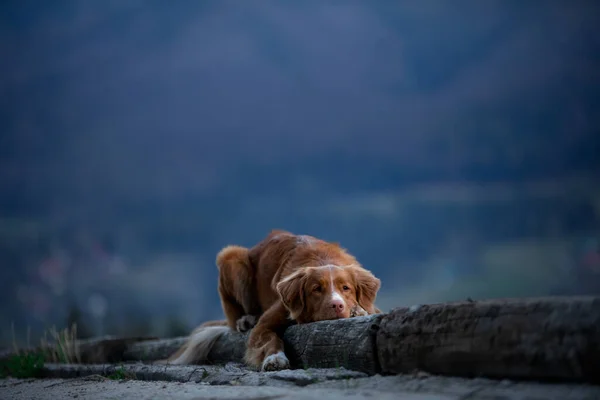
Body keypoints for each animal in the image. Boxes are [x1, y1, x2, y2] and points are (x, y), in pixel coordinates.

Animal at [164, 231, 380, 372]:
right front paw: (275, 358)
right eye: (316, 289)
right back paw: (246, 320)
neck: (322, 259)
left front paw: (358, 311)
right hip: (231, 256)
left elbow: (369, 309)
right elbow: (271, 338)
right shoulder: (268, 322)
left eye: (346, 288)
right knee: (235, 318)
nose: (337, 305)